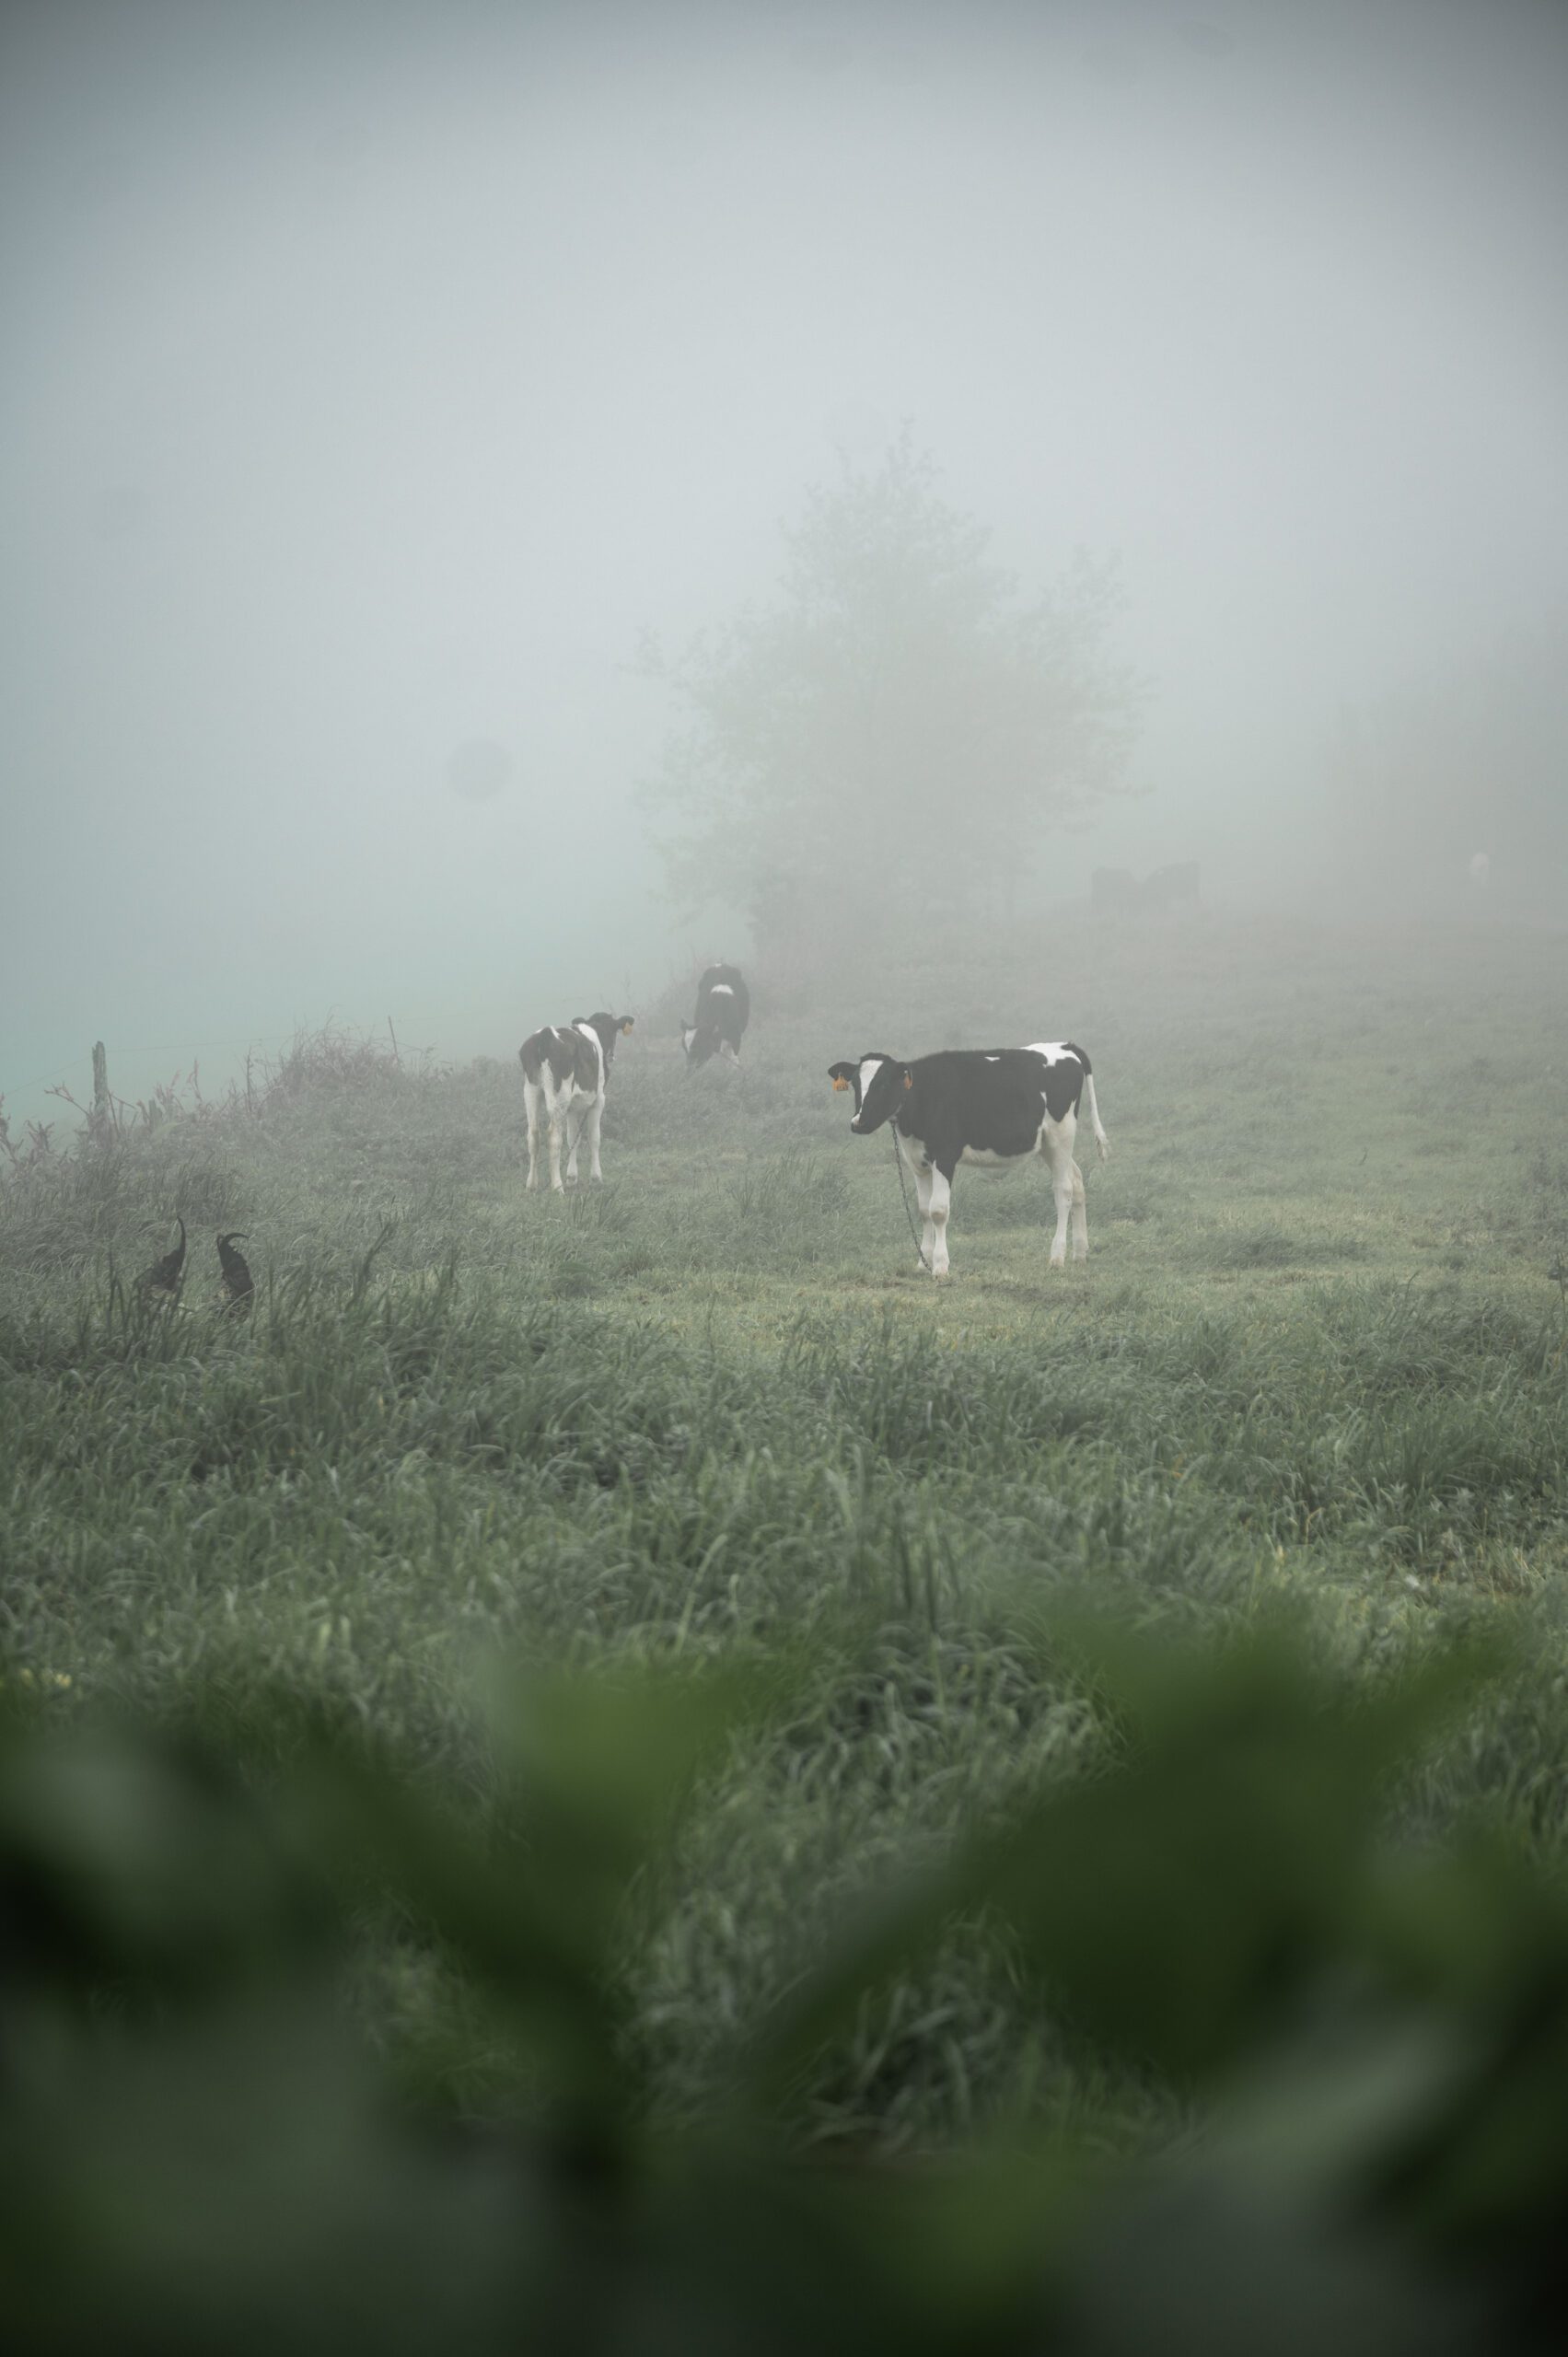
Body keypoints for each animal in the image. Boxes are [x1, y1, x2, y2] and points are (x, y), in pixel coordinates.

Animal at [516, 1013, 632, 1197]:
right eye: (614, 1030)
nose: (611, 1056)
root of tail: (545, 1035)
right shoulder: (599, 1100)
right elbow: (594, 1138)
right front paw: (596, 1178)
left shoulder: (571, 1108)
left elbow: (572, 1139)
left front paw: (571, 1178)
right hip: (559, 1096)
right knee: (554, 1136)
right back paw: (557, 1187)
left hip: (531, 1090)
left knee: (533, 1134)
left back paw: (531, 1185)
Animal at [825, 1041, 1108, 1282]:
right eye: (855, 1085)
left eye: (883, 1085)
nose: (858, 1122)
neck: (923, 1094)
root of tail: (1064, 1046)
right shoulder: (916, 1160)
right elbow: (923, 1211)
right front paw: (922, 1262)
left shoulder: (945, 1156)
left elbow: (939, 1211)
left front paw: (940, 1266)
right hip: (1047, 1144)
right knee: (1077, 1181)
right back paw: (1080, 1252)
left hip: (1062, 1135)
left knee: (1063, 1191)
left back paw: (1057, 1256)